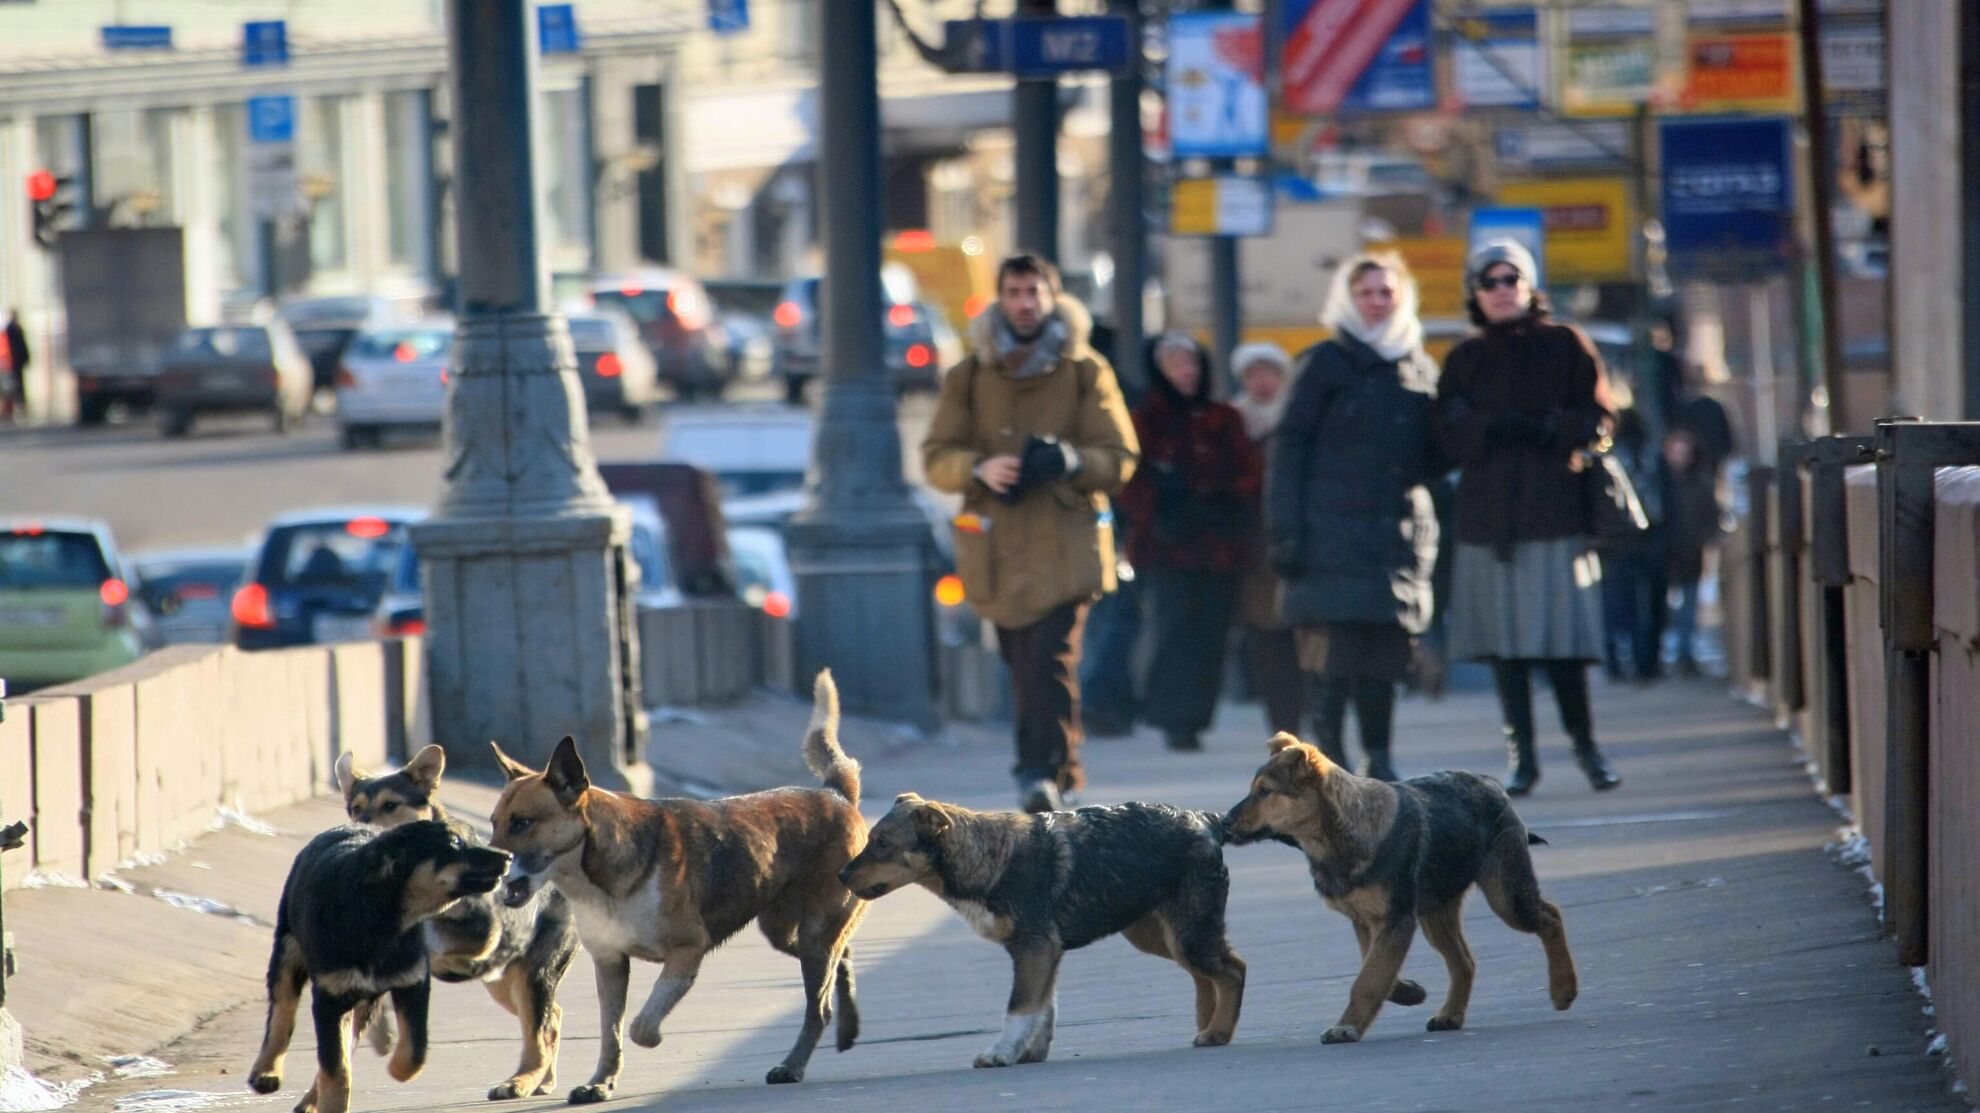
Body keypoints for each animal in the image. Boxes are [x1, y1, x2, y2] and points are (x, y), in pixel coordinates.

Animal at [245, 815, 510, 1109]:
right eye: (455, 842)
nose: (508, 856)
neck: (384, 920)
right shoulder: (329, 997)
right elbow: (336, 1068)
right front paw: (334, 1104)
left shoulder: (412, 982)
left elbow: (414, 1050)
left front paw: (397, 1069)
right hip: (288, 949)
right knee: (283, 1012)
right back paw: (266, 1072)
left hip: (365, 998)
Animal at [332, 740, 578, 1093]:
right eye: (355, 808)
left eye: (391, 805)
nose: (360, 826)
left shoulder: (482, 931)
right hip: (504, 982)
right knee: (551, 1017)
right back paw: (542, 1080)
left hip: (531, 974)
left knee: (539, 1030)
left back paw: (520, 1082)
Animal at [489, 665, 867, 1101]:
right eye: (493, 822)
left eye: (523, 823)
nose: (488, 864)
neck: (595, 874)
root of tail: (837, 794)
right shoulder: (610, 964)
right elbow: (610, 1031)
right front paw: (600, 1082)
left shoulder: (687, 952)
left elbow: (639, 1026)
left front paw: (650, 1040)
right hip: (787, 932)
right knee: (842, 956)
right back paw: (848, 1024)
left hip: (814, 934)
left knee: (818, 1006)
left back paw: (792, 1065)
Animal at [843, 792, 1243, 1061]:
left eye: (882, 843)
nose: (840, 875)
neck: (988, 857)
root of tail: (1206, 821)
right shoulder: (1042, 952)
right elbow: (1043, 1007)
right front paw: (1029, 1052)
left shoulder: (1034, 947)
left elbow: (1020, 1006)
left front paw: (1001, 1053)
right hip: (1157, 934)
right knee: (1206, 974)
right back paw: (1208, 1026)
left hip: (1186, 932)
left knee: (1233, 970)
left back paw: (1218, 1031)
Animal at [1219, 728, 1576, 1037]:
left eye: (1265, 792)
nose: (1224, 823)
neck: (1339, 833)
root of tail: (1491, 783)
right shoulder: (1367, 921)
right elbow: (1376, 970)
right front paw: (1408, 992)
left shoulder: (1395, 920)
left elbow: (1368, 979)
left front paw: (1346, 1027)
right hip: (1436, 914)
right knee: (1464, 961)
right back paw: (1451, 1015)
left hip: (1506, 896)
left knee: (1550, 917)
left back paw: (1564, 989)